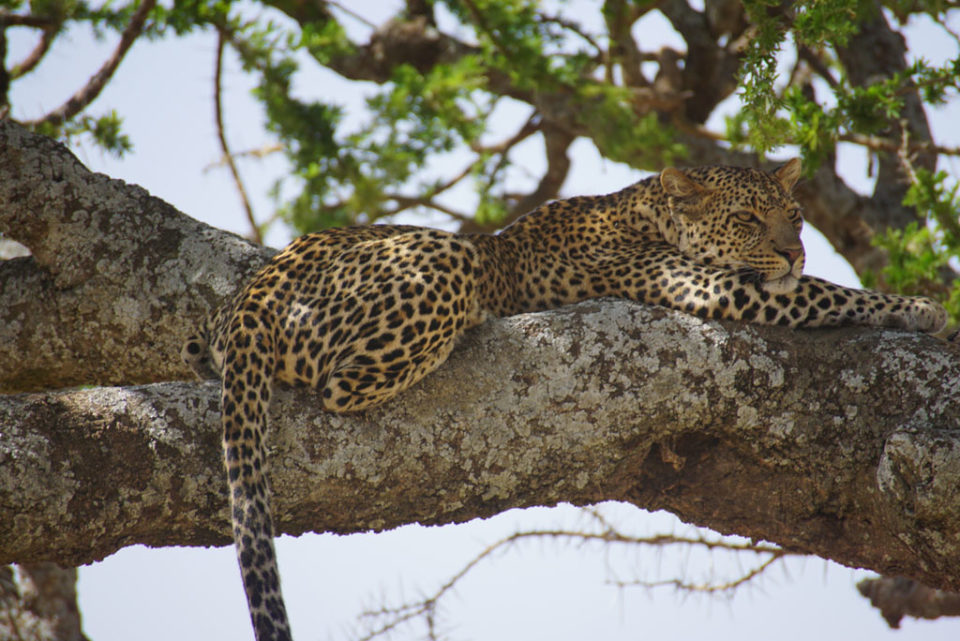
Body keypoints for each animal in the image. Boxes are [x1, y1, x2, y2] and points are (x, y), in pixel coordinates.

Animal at [181, 158, 947, 641]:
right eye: (749, 220)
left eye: (794, 216)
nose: (794, 252)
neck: (649, 209)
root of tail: (255, 295)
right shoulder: (708, 285)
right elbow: (831, 295)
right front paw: (921, 307)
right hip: (441, 262)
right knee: (343, 382)